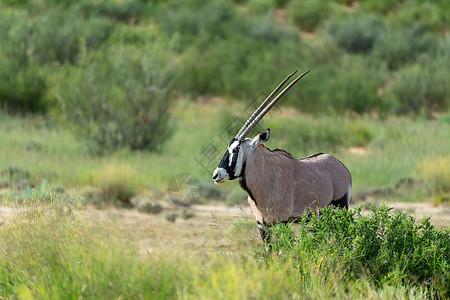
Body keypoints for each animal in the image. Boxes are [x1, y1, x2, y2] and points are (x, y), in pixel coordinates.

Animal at [213, 69, 354, 241]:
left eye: (236, 149)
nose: (216, 175)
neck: (265, 178)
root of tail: (342, 167)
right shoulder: (262, 224)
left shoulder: (282, 221)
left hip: (340, 208)